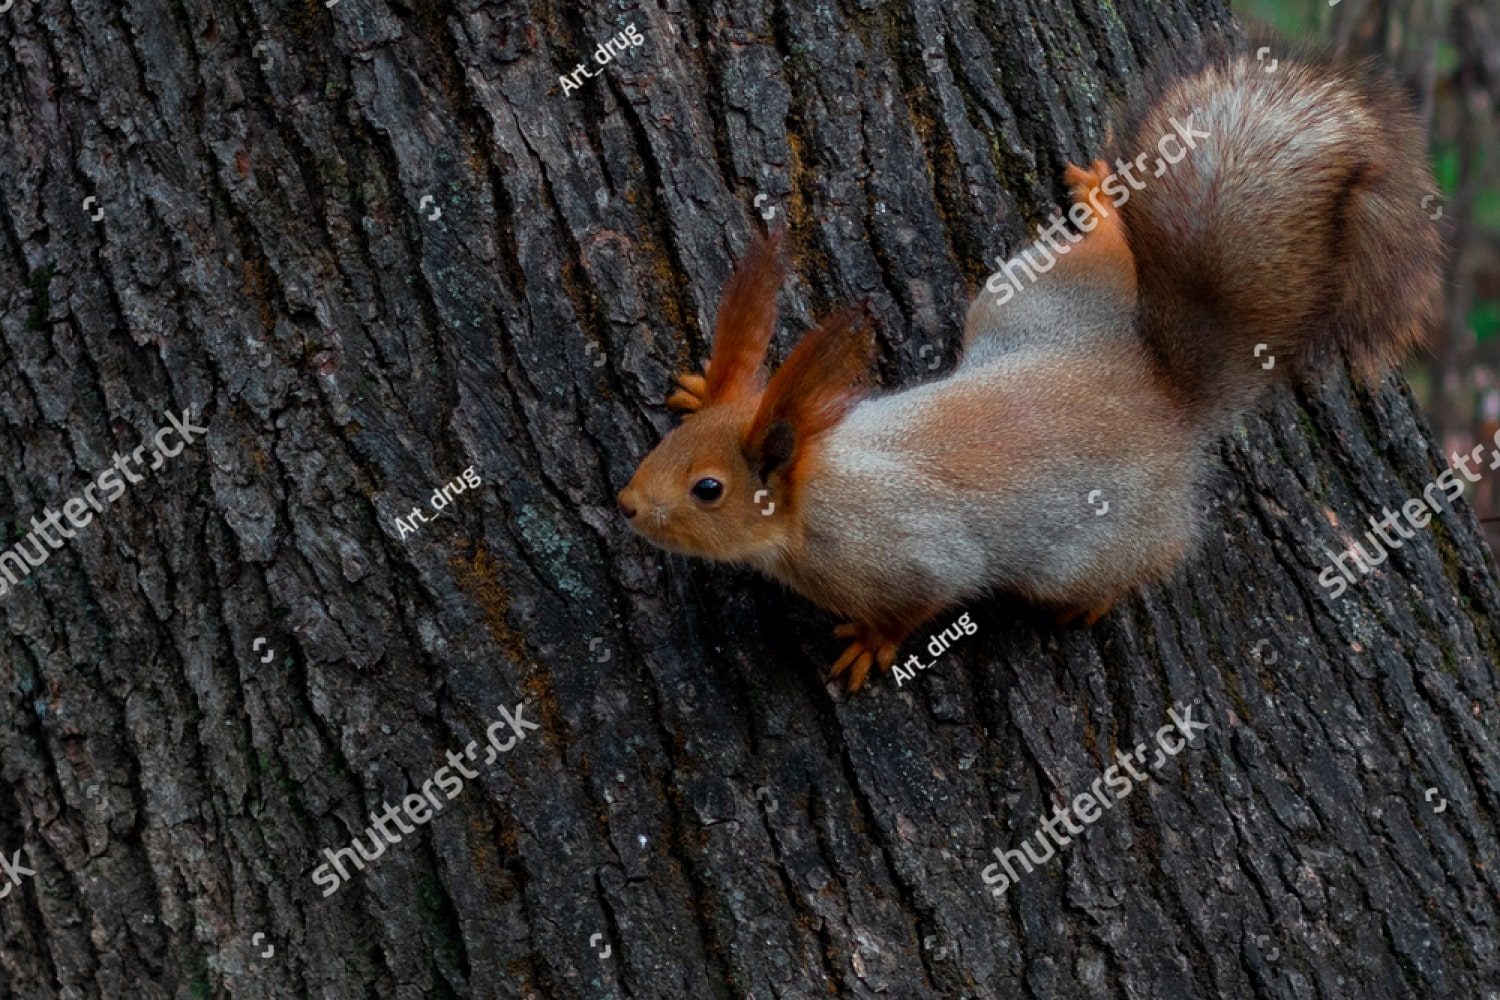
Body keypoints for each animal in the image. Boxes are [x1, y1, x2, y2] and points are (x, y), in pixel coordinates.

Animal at [617, 48, 1444, 693]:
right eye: (669, 445)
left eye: (709, 490)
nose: (626, 504)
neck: (816, 489)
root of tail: (1161, 392)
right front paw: (706, 383)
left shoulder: (913, 557)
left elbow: (925, 600)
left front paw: (875, 644)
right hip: (1028, 300)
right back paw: (1105, 209)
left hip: (1097, 540)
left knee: (1159, 553)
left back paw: (1098, 598)